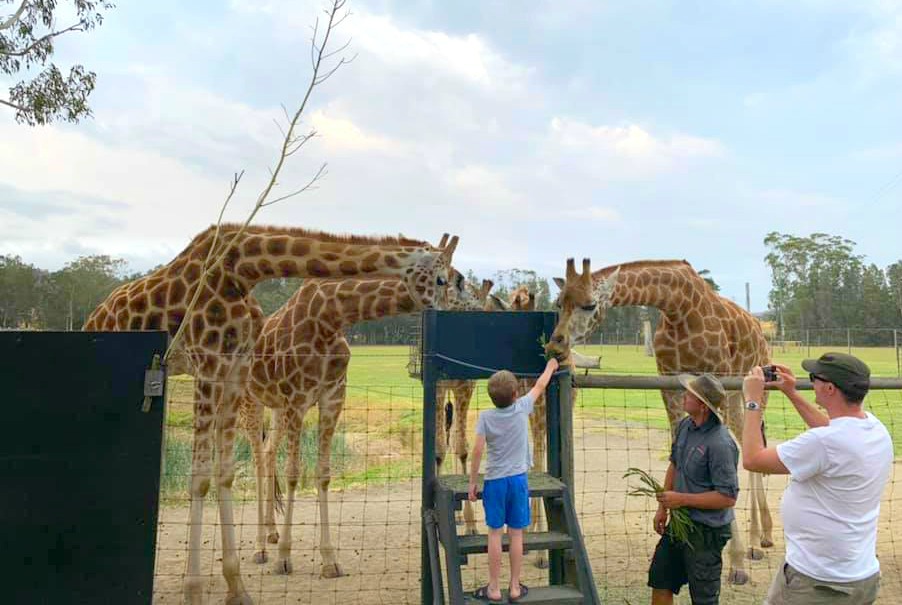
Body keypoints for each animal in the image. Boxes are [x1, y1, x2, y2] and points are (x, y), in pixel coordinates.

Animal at [238, 274, 456, 576]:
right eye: (450, 284)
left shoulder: (331, 397)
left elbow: (323, 473)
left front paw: (329, 560)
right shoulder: (297, 399)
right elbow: (294, 472)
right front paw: (284, 558)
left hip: (277, 407)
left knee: (268, 452)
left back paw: (271, 533)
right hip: (250, 400)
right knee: (254, 459)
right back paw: (259, 547)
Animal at [548, 258, 772, 584]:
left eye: (590, 305)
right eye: (559, 303)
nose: (555, 345)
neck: (679, 308)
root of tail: (758, 328)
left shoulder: (716, 376)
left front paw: (737, 564)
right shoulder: (669, 382)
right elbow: (677, 446)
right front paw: (677, 527)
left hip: (753, 385)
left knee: (750, 444)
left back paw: (758, 542)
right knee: (748, 443)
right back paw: (759, 540)